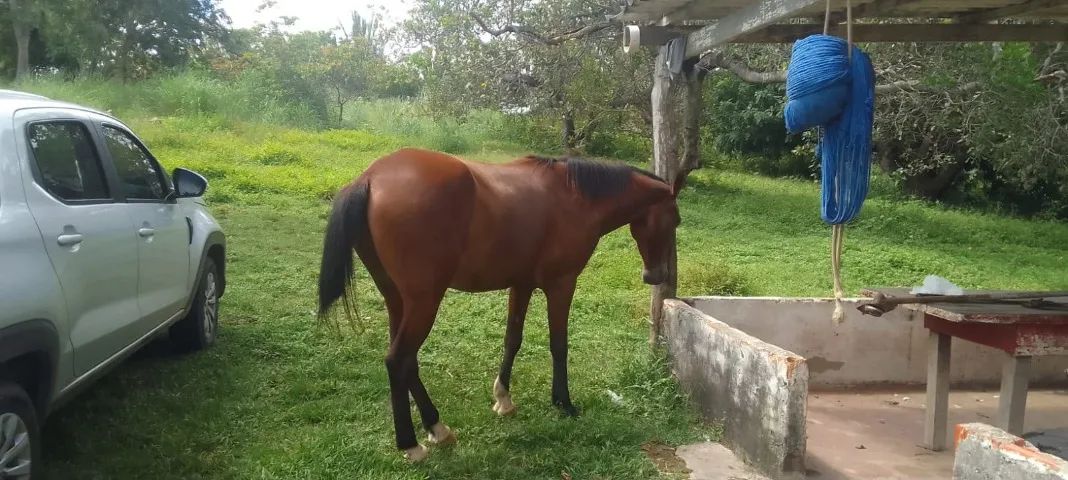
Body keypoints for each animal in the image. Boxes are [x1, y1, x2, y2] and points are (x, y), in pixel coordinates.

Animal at [317, 147, 682, 462]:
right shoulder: (561, 284)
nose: (655, 275)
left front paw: (503, 399)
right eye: (675, 219)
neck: (575, 197)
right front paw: (563, 403)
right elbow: (559, 344)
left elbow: (512, 340)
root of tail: (370, 178)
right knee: (398, 361)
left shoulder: (521, 284)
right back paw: (411, 445)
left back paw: (437, 428)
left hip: (398, 300)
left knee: (407, 362)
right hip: (424, 301)